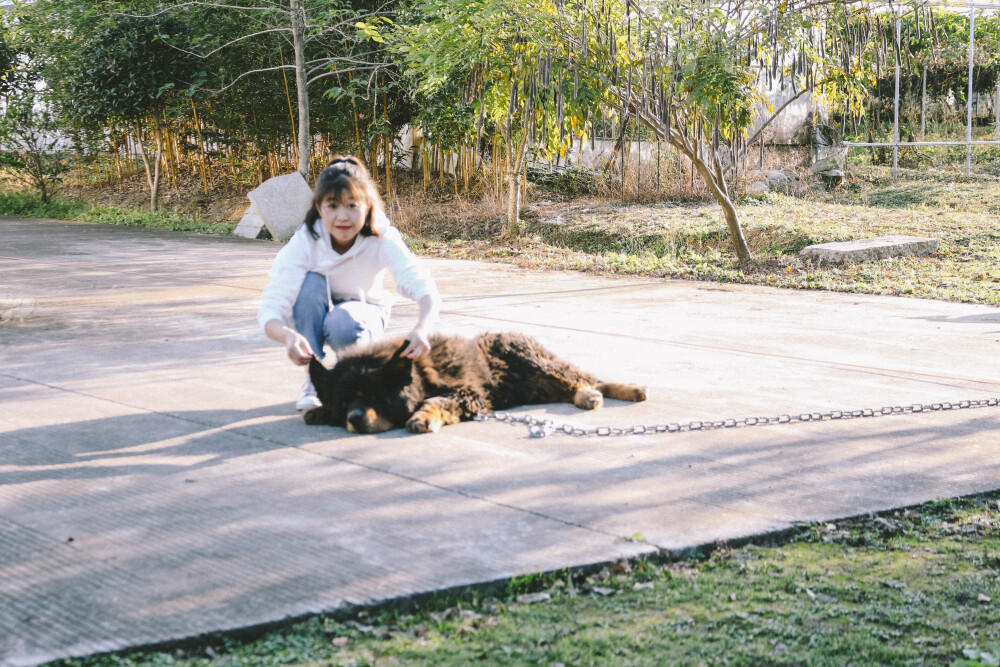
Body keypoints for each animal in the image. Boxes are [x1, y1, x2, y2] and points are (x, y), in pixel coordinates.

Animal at [302, 332, 648, 434]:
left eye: (374, 396)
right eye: (343, 402)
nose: (354, 418)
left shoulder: (468, 393)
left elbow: (436, 402)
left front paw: (423, 417)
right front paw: (318, 411)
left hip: (536, 363)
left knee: (586, 380)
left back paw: (616, 392)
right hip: (536, 385)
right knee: (576, 387)